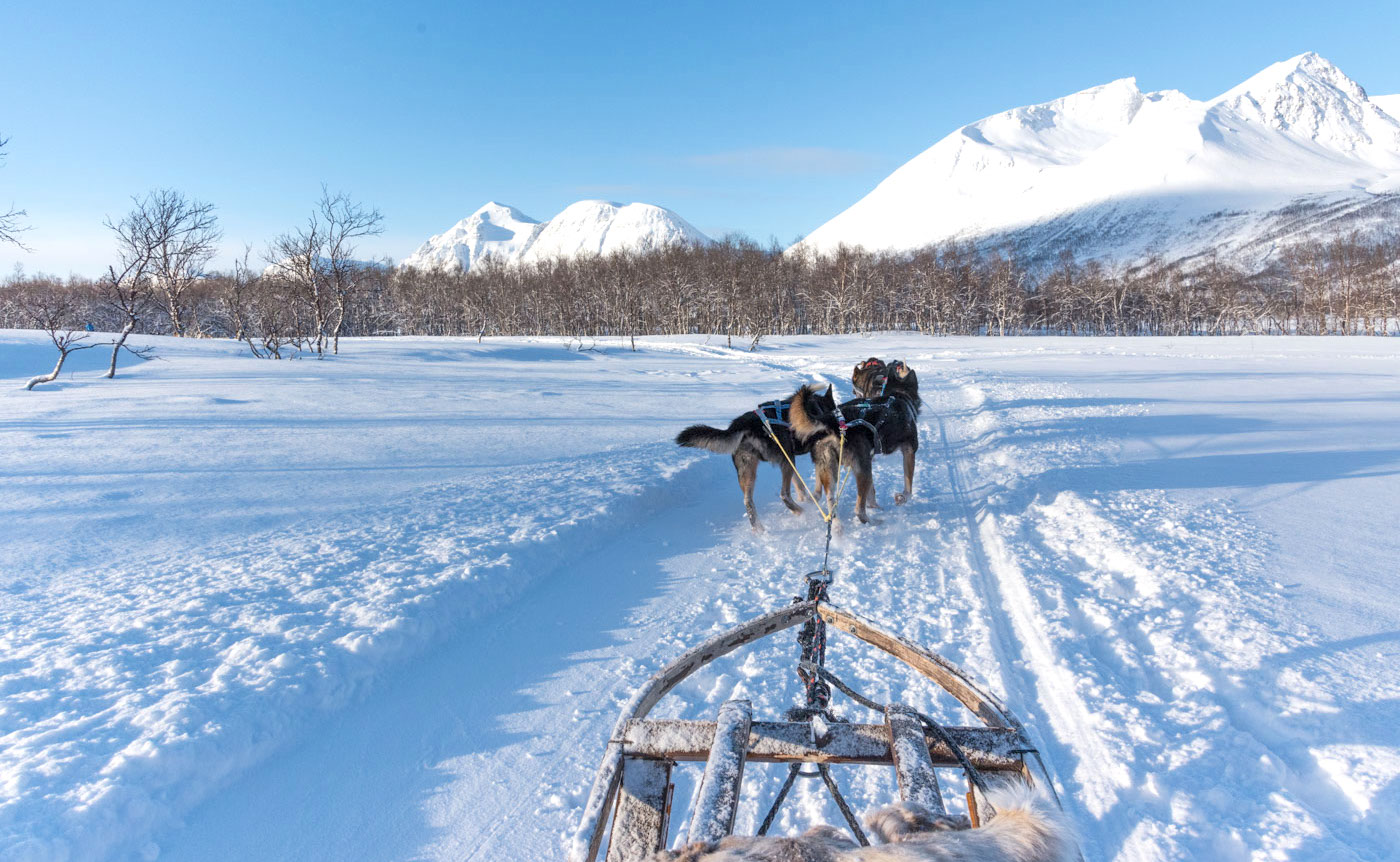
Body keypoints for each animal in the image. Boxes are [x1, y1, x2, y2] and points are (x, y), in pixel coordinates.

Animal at [674, 386, 834, 531]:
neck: (819, 406)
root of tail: (739, 425)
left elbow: (800, 486)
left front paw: (807, 499)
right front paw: (812, 500)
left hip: (750, 469)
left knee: (748, 501)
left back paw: (759, 529)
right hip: (786, 459)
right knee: (784, 494)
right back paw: (801, 511)